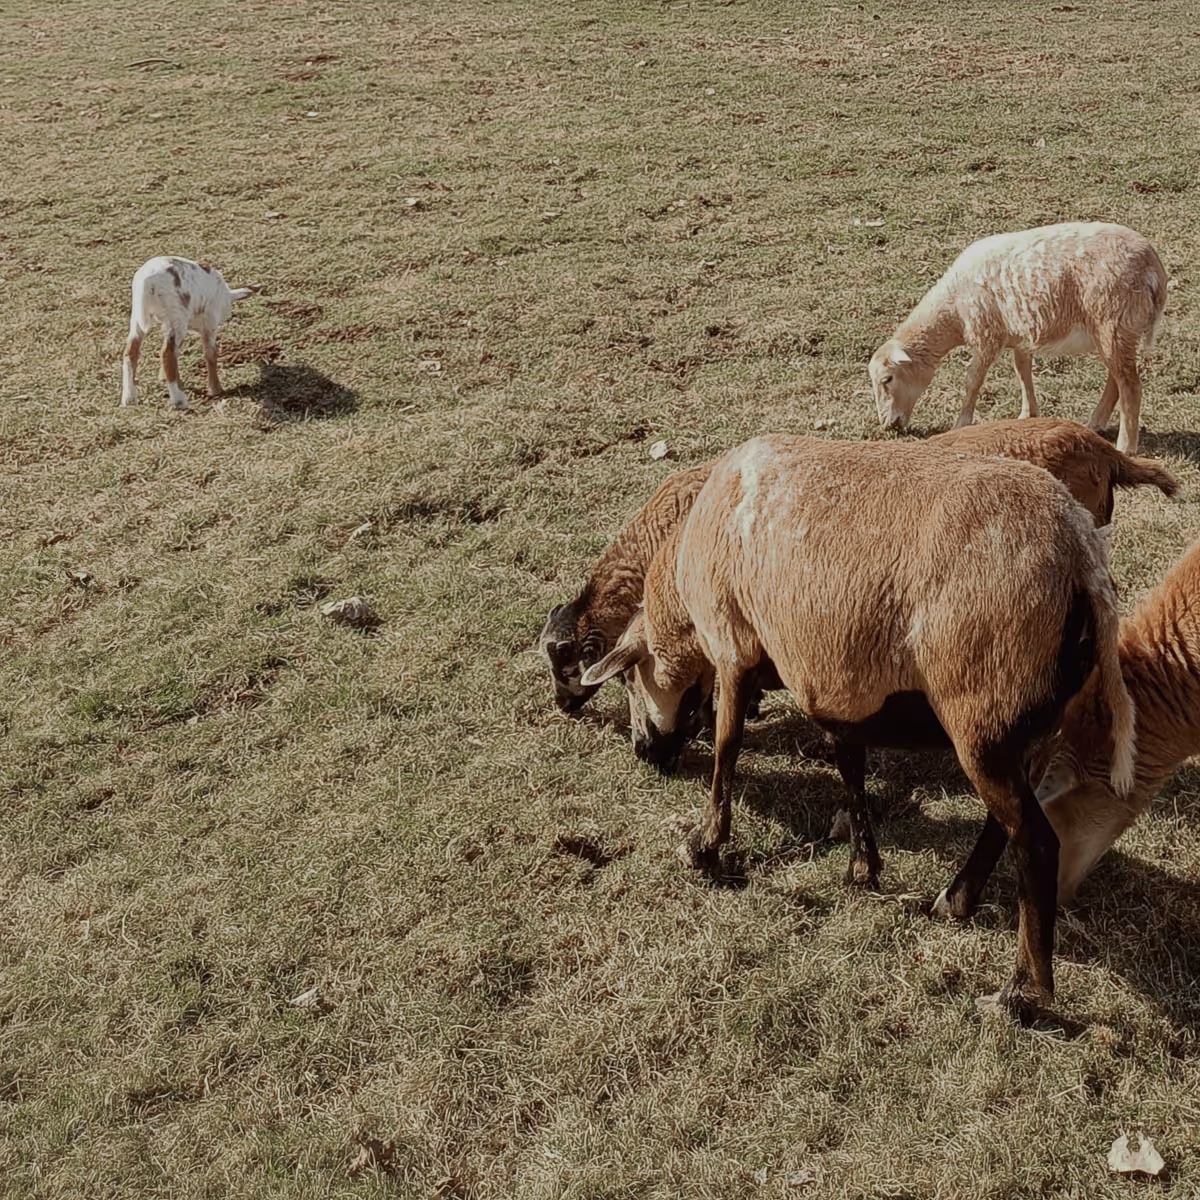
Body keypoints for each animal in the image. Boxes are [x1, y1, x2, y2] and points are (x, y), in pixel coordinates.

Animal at [120, 256, 260, 411]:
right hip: (176, 316)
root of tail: (148, 280)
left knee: (131, 352)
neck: (225, 296)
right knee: (167, 354)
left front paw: (163, 377)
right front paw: (216, 390)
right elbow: (210, 354)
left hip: (138, 317)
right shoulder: (209, 324)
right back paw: (179, 401)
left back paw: (129, 397)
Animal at [581, 435, 1134, 1017]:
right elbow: (850, 767)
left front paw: (704, 847)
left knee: (1036, 842)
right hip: (1026, 726)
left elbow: (727, 749)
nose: (644, 751)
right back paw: (955, 900)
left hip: (982, 713)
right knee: (1002, 824)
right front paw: (862, 868)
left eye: (628, 678)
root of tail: (1081, 556)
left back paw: (1021, 992)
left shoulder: (733, 647)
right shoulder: (832, 686)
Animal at [869, 222, 1167, 453]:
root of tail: (1153, 266)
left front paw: (961, 422)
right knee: (1116, 380)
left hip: (1113, 319)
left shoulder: (987, 334)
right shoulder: (1020, 334)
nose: (888, 425)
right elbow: (1022, 371)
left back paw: (1126, 445)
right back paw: (1096, 423)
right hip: (1116, 329)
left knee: (1130, 386)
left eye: (887, 379)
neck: (952, 310)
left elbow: (972, 380)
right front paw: (1027, 414)